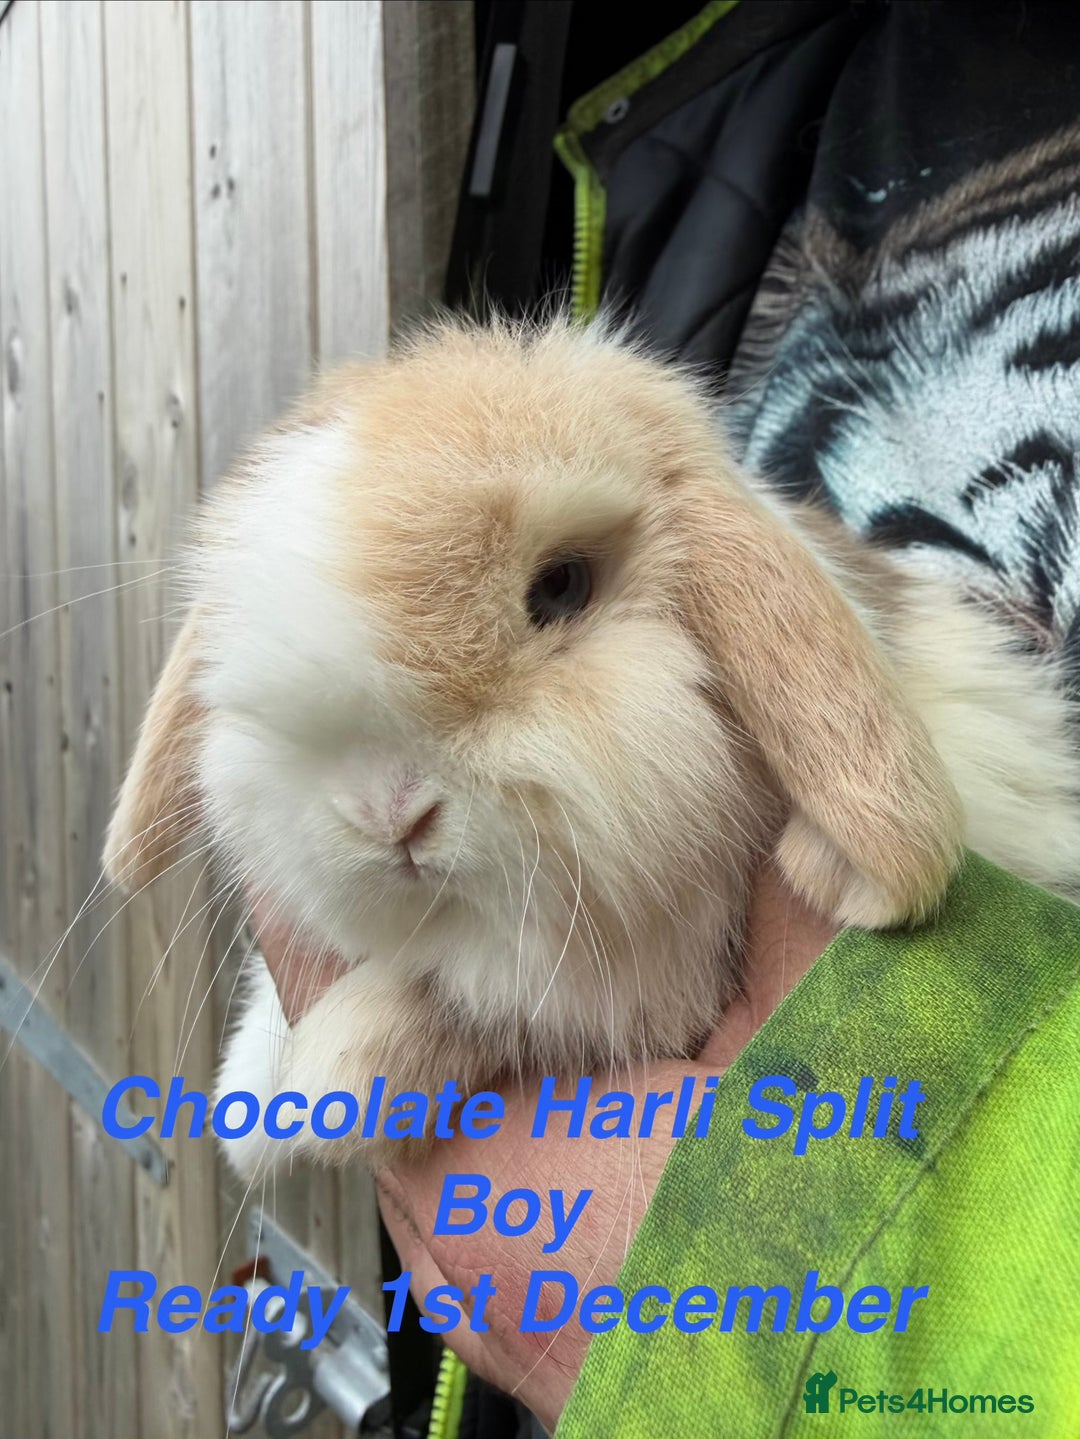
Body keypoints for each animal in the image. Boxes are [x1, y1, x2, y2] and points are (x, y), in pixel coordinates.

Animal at [103, 316, 1080, 1178]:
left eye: (561, 587)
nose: (387, 812)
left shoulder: (646, 986)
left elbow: (479, 1003)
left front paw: (325, 1084)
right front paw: (254, 1096)